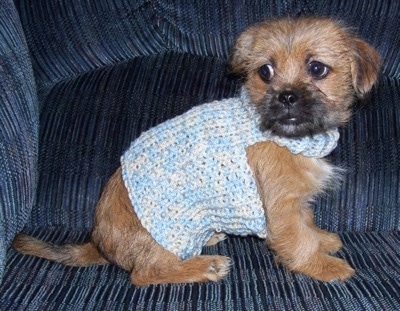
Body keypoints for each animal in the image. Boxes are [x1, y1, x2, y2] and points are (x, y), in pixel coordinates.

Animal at [13, 16, 382, 286]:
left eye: (317, 68)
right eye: (265, 72)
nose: (286, 97)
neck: (287, 137)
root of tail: (99, 245)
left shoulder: (296, 201)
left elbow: (308, 225)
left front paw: (322, 241)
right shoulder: (282, 206)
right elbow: (297, 239)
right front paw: (323, 266)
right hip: (166, 234)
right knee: (144, 274)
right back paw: (203, 267)